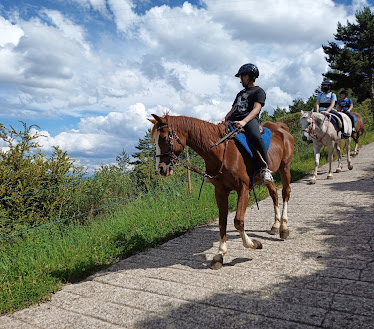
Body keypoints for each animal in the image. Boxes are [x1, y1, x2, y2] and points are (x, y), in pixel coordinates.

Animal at [149, 114, 296, 268]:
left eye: (163, 138)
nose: (160, 169)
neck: (221, 152)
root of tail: (281, 128)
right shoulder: (220, 192)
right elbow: (222, 222)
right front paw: (220, 254)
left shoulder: (244, 189)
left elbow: (238, 221)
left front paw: (254, 244)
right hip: (268, 177)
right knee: (274, 194)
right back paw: (275, 225)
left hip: (285, 167)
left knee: (285, 193)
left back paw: (284, 228)